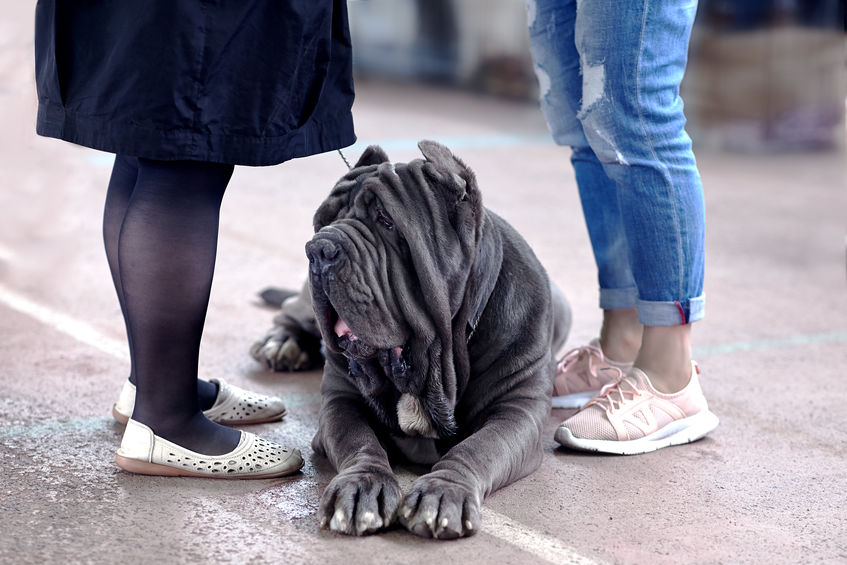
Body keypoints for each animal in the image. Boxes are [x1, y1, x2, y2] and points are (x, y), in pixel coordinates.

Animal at [252, 141, 568, 536]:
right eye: (322, 222)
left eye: (386, 221)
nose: (319, 248)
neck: (435, 365)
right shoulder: (341, 400)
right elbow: (359, 441)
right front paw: (362, 485)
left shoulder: (518, 411)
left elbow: (479, 447)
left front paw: (443, 492)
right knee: (290, 312)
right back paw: (282, 343)